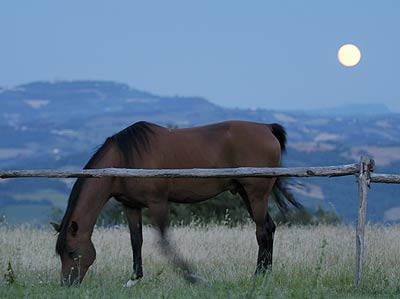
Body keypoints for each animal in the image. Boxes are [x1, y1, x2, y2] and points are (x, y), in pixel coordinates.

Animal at [50, 120, 300, 288]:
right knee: (269, 228)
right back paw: (265, 273)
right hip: (245, 193)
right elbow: (136, 241)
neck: (124, 159)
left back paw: (258, 275)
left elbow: (165, 243)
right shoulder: (131, 206)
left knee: (262, 231)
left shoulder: (158, 202)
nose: (67, 284)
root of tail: (266, 127)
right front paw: (134, 279)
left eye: (72, 252)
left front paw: (192, 277)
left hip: (257, 194)